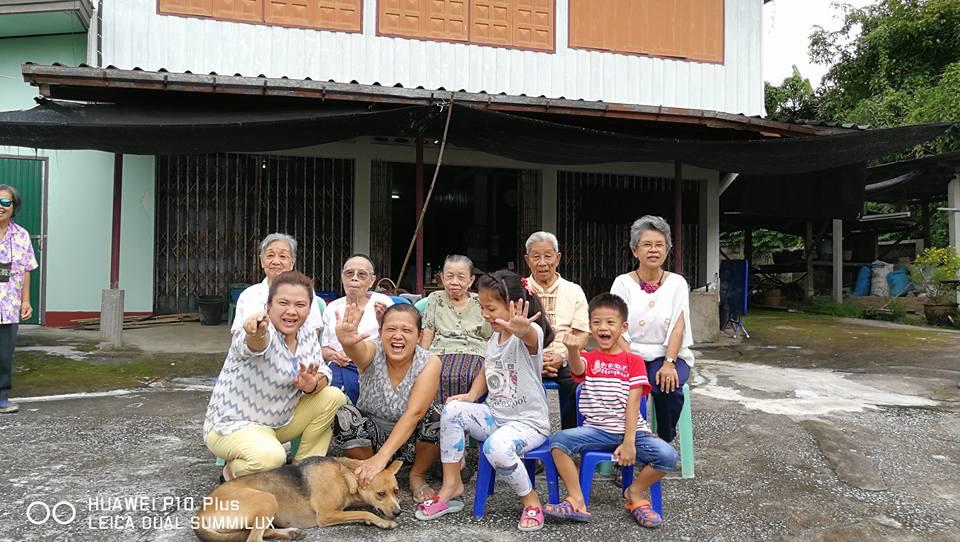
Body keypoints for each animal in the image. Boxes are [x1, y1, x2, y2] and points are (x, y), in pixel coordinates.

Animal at [193, 460, 404, 542]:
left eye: (396, 491)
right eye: (380, 494)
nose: (398, 512)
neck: (343, 475)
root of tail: (200, 513)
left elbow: (361, 510)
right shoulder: (327, 515)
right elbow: (364, 511)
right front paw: (384, 522)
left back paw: (290, 533)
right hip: (267, 499)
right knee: (253, 538)